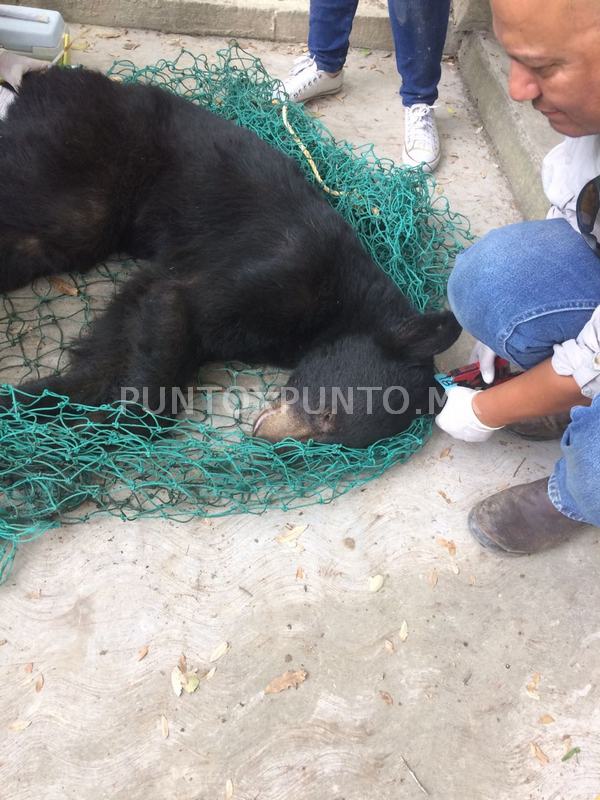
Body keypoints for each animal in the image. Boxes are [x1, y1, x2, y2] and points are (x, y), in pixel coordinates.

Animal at [0, 65, 460, 446]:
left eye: (333, 441)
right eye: (327, 414)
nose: (264, 436)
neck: (338, 308)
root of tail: (38, 84)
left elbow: (120, 333)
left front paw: (40, 401)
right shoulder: (280, 269)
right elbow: (178, 307)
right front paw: (120, 424)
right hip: (76, 163)